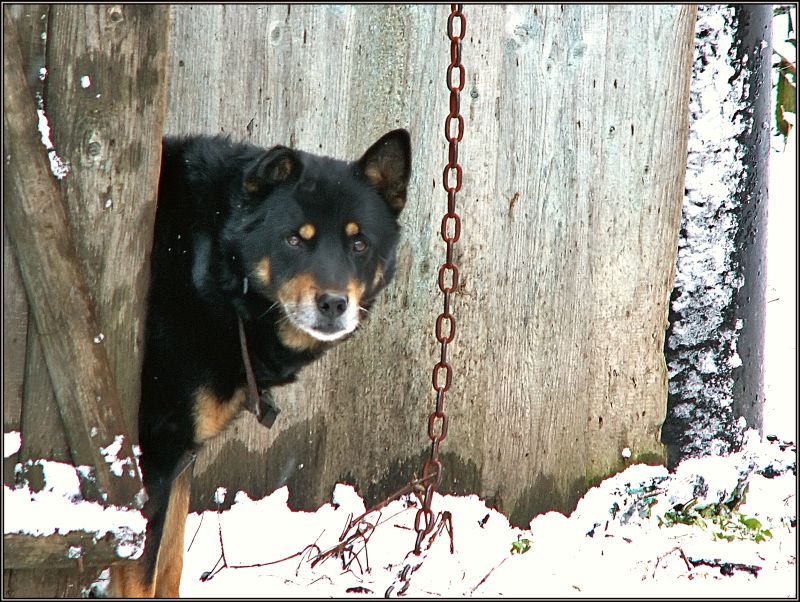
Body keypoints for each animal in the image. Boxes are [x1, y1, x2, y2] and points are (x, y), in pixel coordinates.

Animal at [111, 129, 412, 592]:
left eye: (359, 243)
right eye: (294, 239)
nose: (334, 304)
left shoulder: (181, 456)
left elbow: (170, 564)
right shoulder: (155, 453)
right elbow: (143, 577)